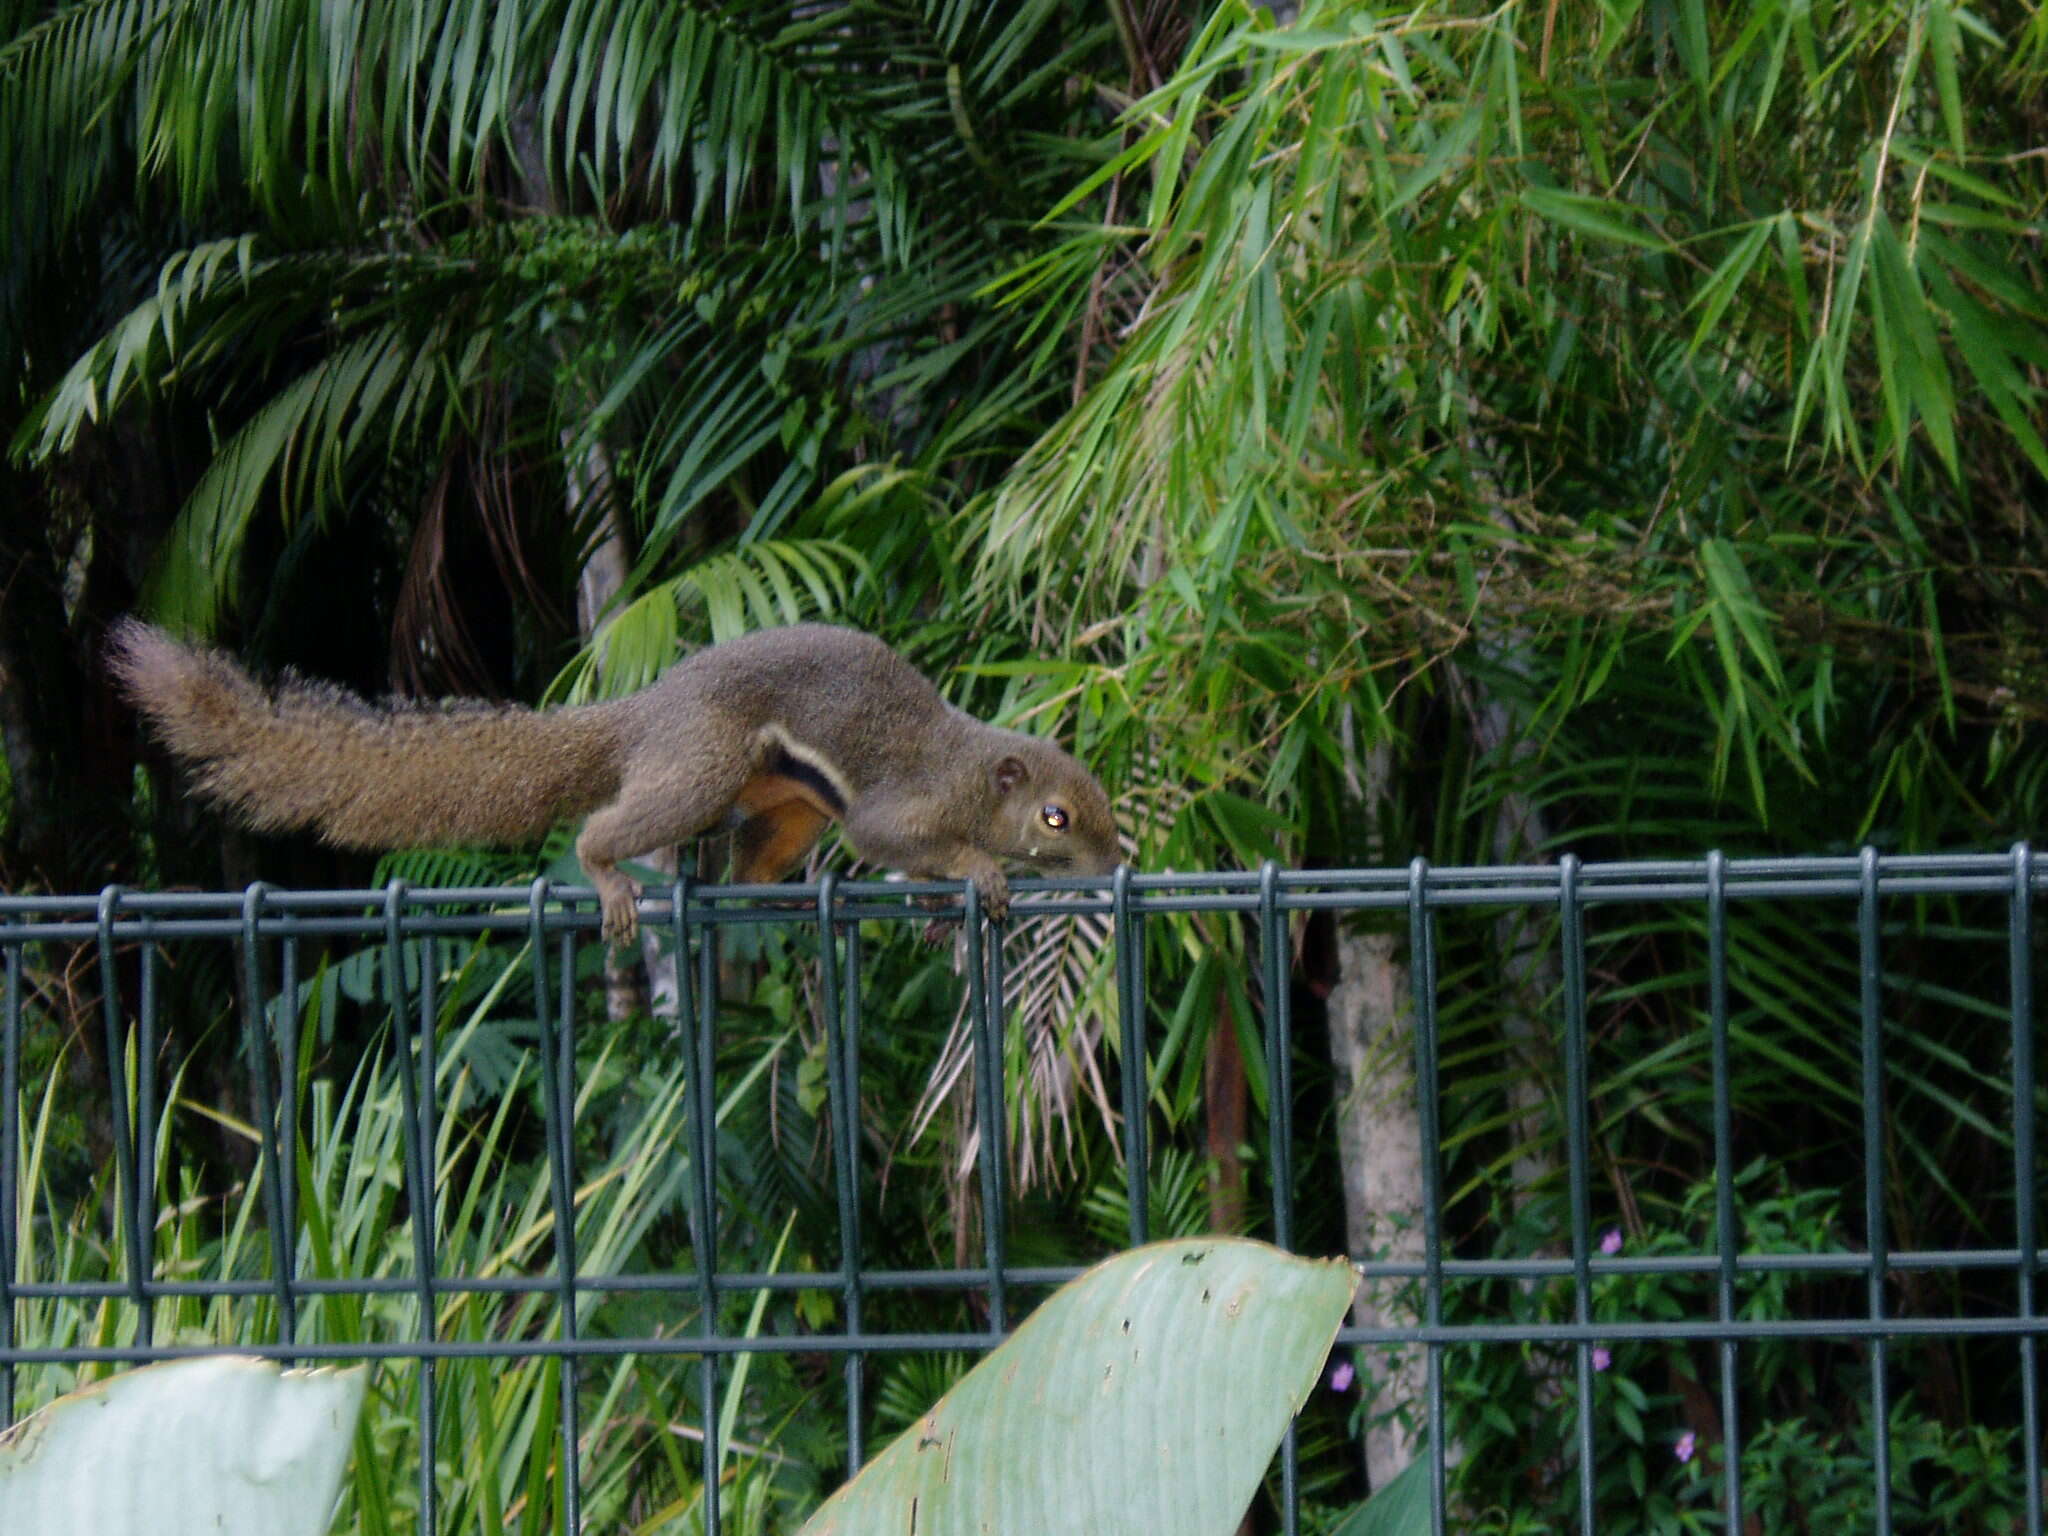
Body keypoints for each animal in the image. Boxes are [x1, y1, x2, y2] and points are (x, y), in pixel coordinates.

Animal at [112, 618, 1122, 946]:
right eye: (1055, 817)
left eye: (1103, 806)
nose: (1120, 861)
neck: (969, 768)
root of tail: (644, 714)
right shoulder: (897, 805)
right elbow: (898, 841)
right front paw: (978, 871)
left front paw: (936, 902)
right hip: (702, 769)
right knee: (606, 830)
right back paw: (608, 879)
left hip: (782, 807)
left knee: (745, 867)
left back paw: (776, 899)